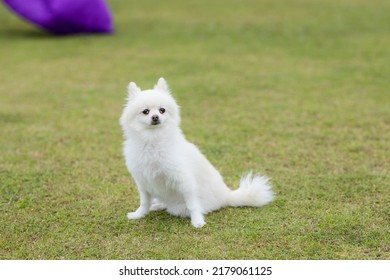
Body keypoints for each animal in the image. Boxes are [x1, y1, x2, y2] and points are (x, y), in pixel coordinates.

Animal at [119, 77, 274, 228]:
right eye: (145, 111)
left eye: (162, 110)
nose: (155, 117)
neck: (152, 140)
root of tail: (227, 195)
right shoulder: (143, 181)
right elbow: (144, 202)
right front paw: (139, 215)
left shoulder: (184, 181)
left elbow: (192, 205)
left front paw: (197, 221)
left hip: (178, 207)